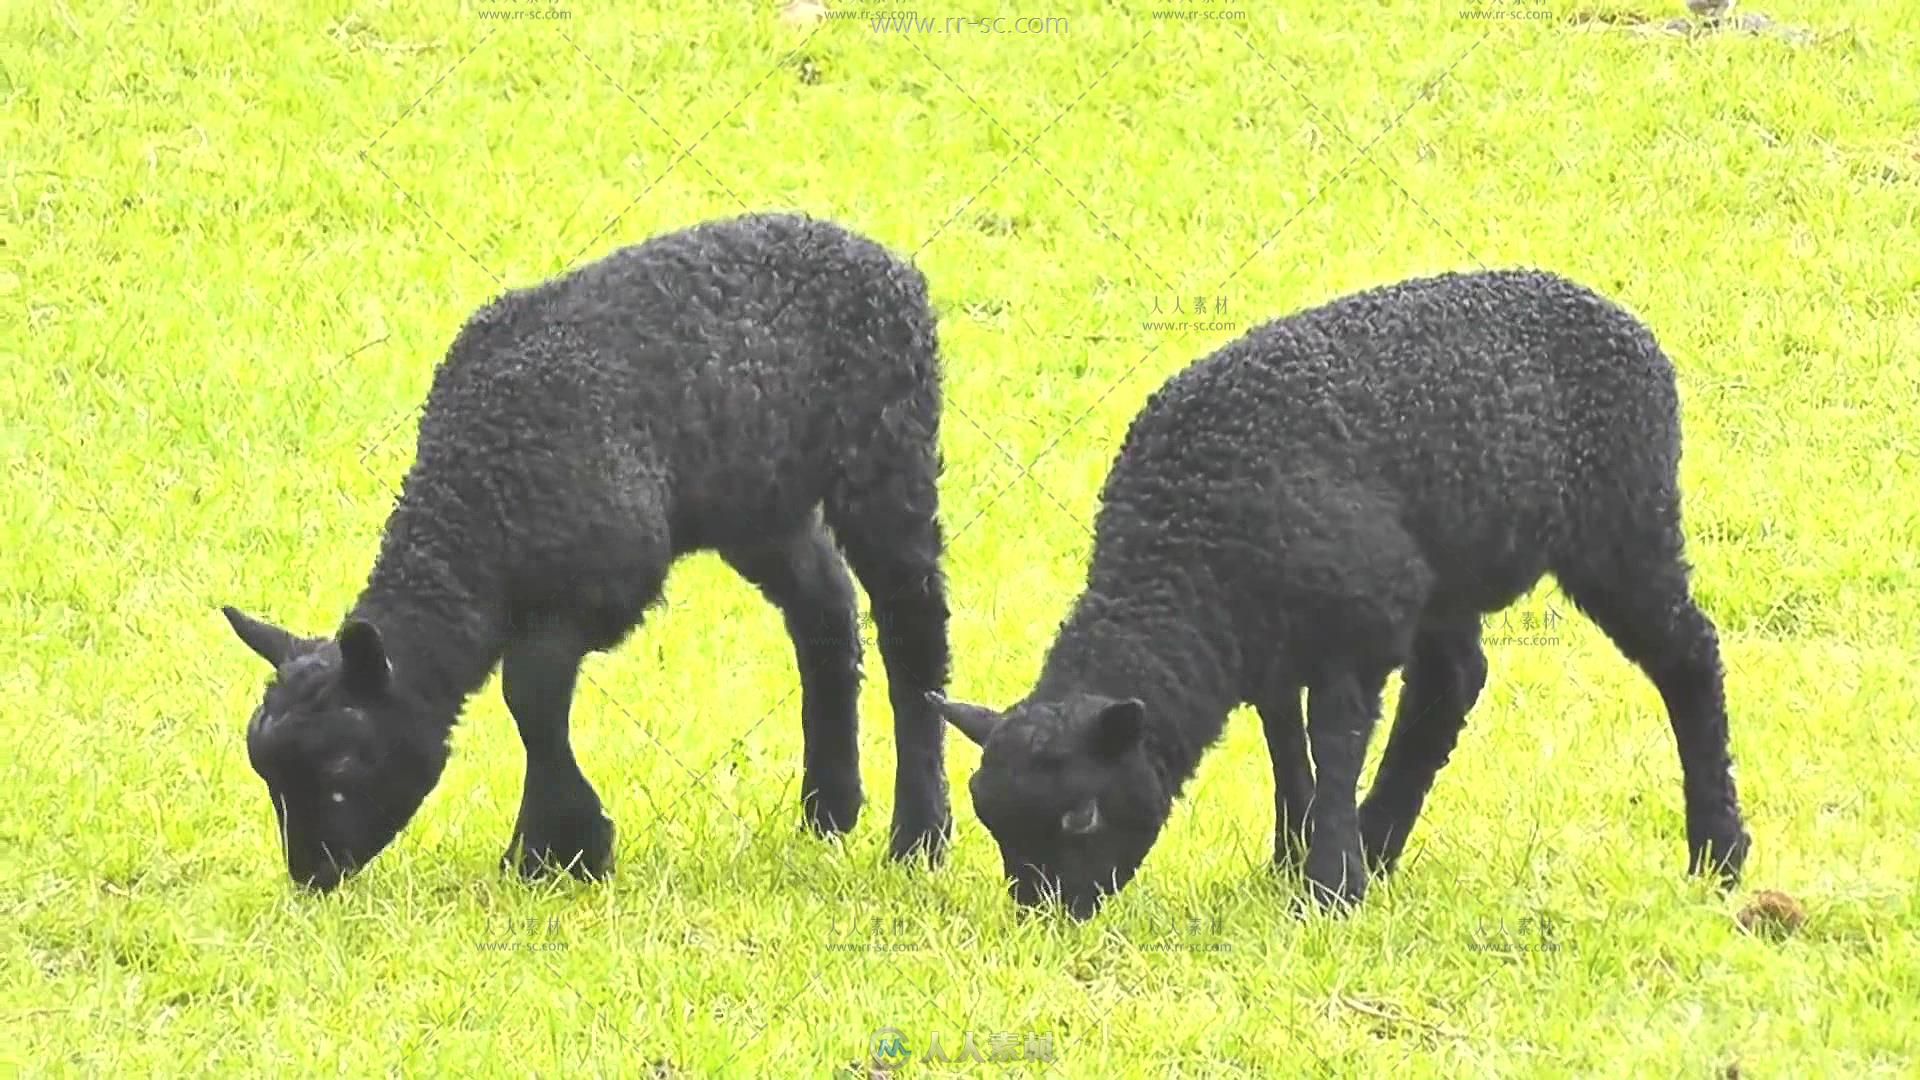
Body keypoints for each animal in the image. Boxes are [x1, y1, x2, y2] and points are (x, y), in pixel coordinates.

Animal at [220, 212, 956, 891]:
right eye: (269, 775)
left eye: (344, 768)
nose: (312, 874)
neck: (478, 510)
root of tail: (887, 262)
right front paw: (553, 847)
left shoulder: (597, 589)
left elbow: (530, 697)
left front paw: (557, 850)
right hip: (760, 501)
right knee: (825, 612)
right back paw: (830, 809)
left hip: (888, 455)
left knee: (914, 637)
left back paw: (919, 837)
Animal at [929, 265, 1758, 910]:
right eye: (991, 822)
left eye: (1081, 818)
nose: (1049, 914)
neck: (1186, 552)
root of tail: (1625, 324)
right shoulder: (1274, 645)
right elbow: (1286, 744)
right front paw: (1294, 856)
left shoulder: (1355, 634)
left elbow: (1334, 742)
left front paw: (1328, 886)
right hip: (1446, 574)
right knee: (1452, 683)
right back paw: (1380, 838)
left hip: (1622, 529)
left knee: (1689, 657)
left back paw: (1718, 850)